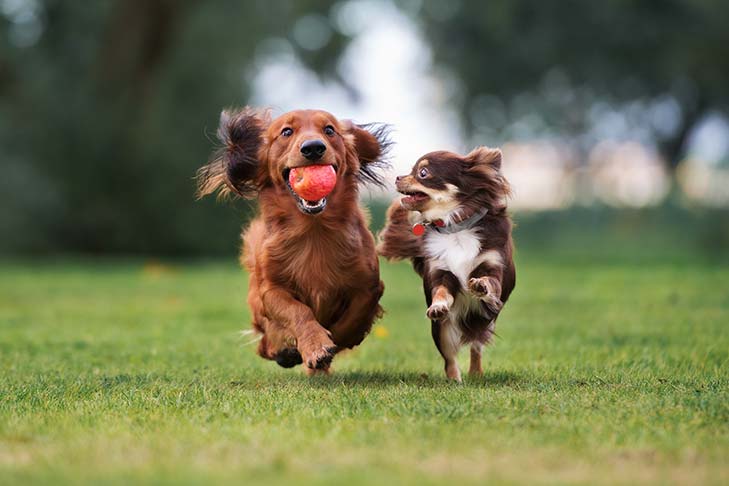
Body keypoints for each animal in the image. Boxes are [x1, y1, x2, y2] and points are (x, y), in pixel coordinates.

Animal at [378, 146, 516, 382]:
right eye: (411, 170)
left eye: (423, 173)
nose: (397, 177)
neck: (455, 227)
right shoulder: (441, 272)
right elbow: (441, 292)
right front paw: (438, 306)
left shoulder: (493, 266)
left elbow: (490, 282)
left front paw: (481, 285)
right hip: (441, 331)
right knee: (449, 358)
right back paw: (454, 380)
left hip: (485, 322)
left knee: (476, 346)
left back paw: (475, 373)